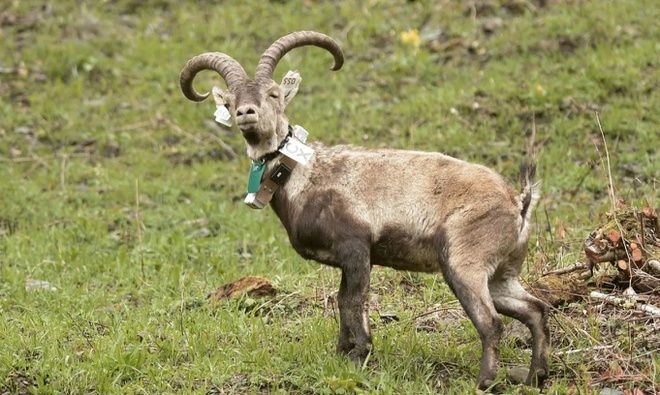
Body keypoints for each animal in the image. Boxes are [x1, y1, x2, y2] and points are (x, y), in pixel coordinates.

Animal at [178, 31, 548, 390]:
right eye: (230, 101)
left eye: (273, 94)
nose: (247, 113)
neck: (304, 174)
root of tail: (518, 202)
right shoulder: (347, 259)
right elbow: (343, 299)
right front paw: (343, 350)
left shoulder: (355, 247)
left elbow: (356, 299)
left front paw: (362, 352)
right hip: (501, 274)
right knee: (534, 309)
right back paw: (536, 375)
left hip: (463, 264)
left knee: (492, 322)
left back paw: (485, 381)